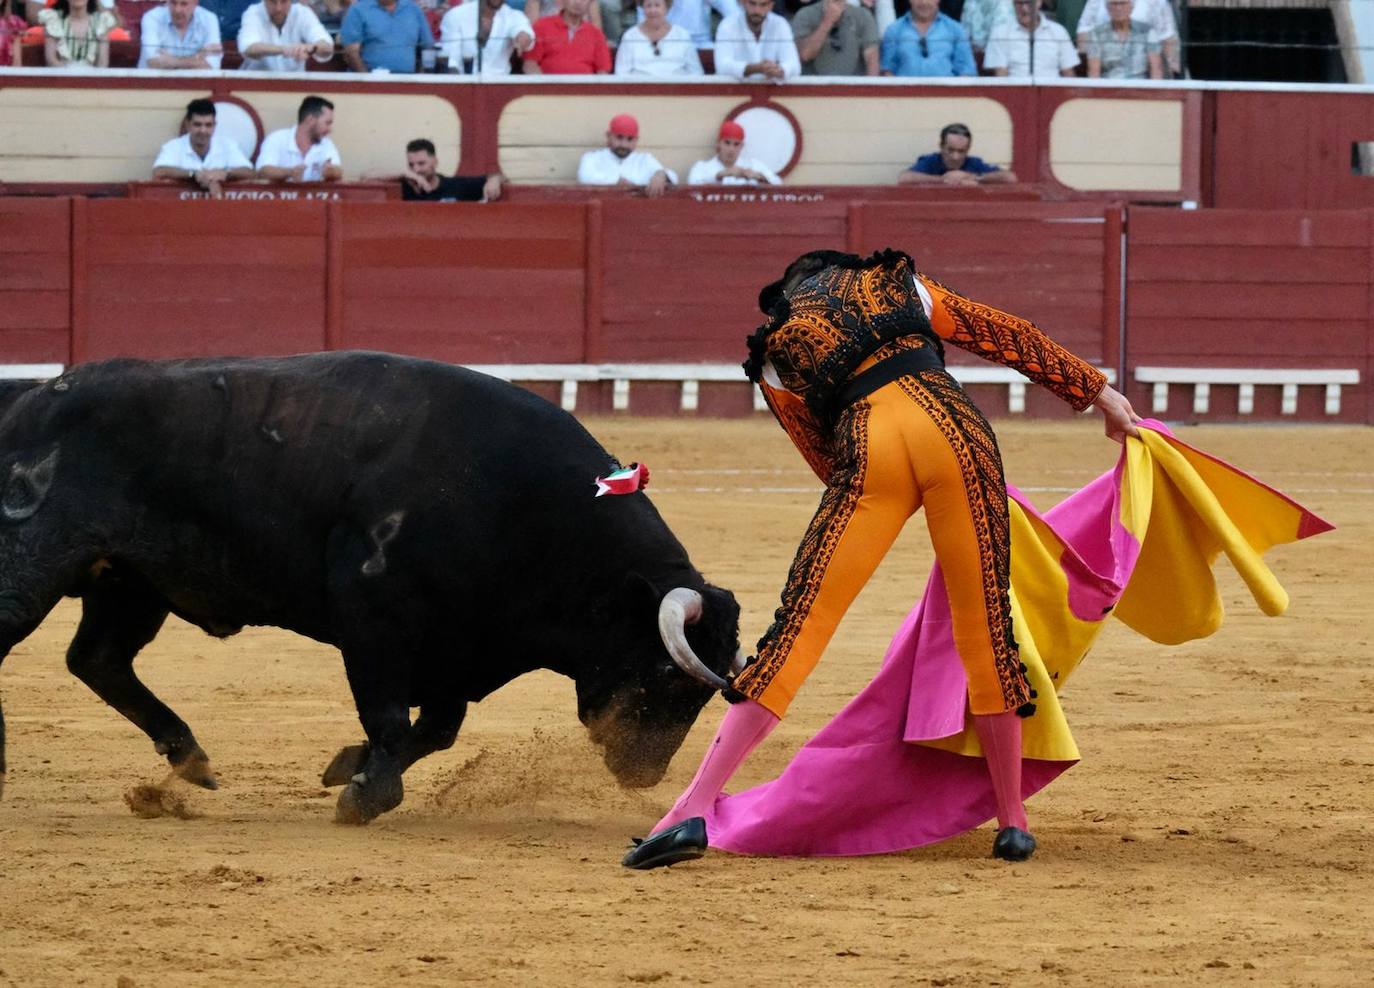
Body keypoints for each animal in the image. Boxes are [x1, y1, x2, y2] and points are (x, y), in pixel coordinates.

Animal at [0, 351, 741, 824]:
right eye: (665, 675)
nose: (644, 775)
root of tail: (27, 401)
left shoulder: (459, 647)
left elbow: (435, 730)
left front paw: (348, 767)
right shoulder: (374, 615)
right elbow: (390, 716)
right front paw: (363, 794)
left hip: (129, 583)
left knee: (98, 659)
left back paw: (192, 761)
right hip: (35, 563)